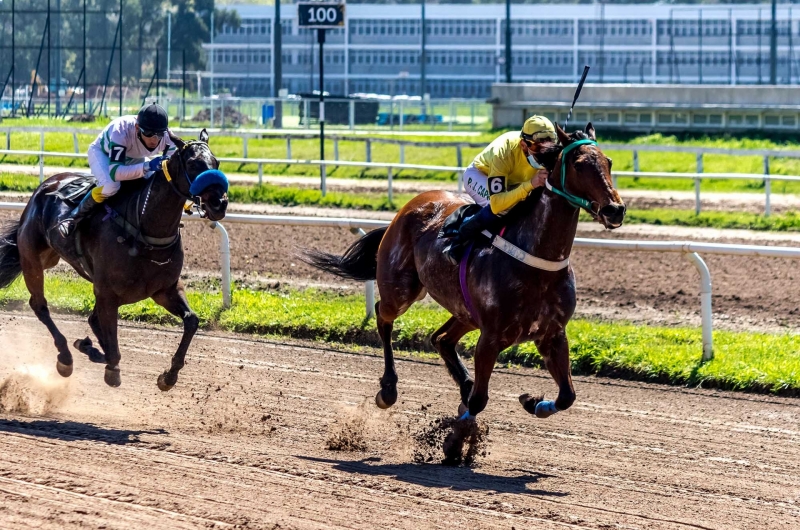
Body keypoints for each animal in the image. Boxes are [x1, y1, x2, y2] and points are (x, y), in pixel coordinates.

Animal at [0, 129, 228, 388]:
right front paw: (109, 367)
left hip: (53, 259)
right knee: (40, 306)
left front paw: (169, 376)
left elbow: (191, 321)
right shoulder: (108, 293)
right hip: (31, 259)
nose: (219, 204)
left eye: (216, 163)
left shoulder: (165, 289)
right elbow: (111, 345)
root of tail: (44, 187)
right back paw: (66, 357)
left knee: (90, 319)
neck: (145, 229)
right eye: (193, 163)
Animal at [306, 121, 624, 422]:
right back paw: (388, 389)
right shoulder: (491, 338)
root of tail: (407, 208)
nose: (615, 210)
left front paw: (533, 402)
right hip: (402, 291)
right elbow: (479, 402)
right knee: (383, 316)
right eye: (579, 164)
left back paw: (463, 384)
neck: (537, 263)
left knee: (441, 339)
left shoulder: (553, 334)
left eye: (608, 162)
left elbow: (567, 395)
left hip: (465, 311)